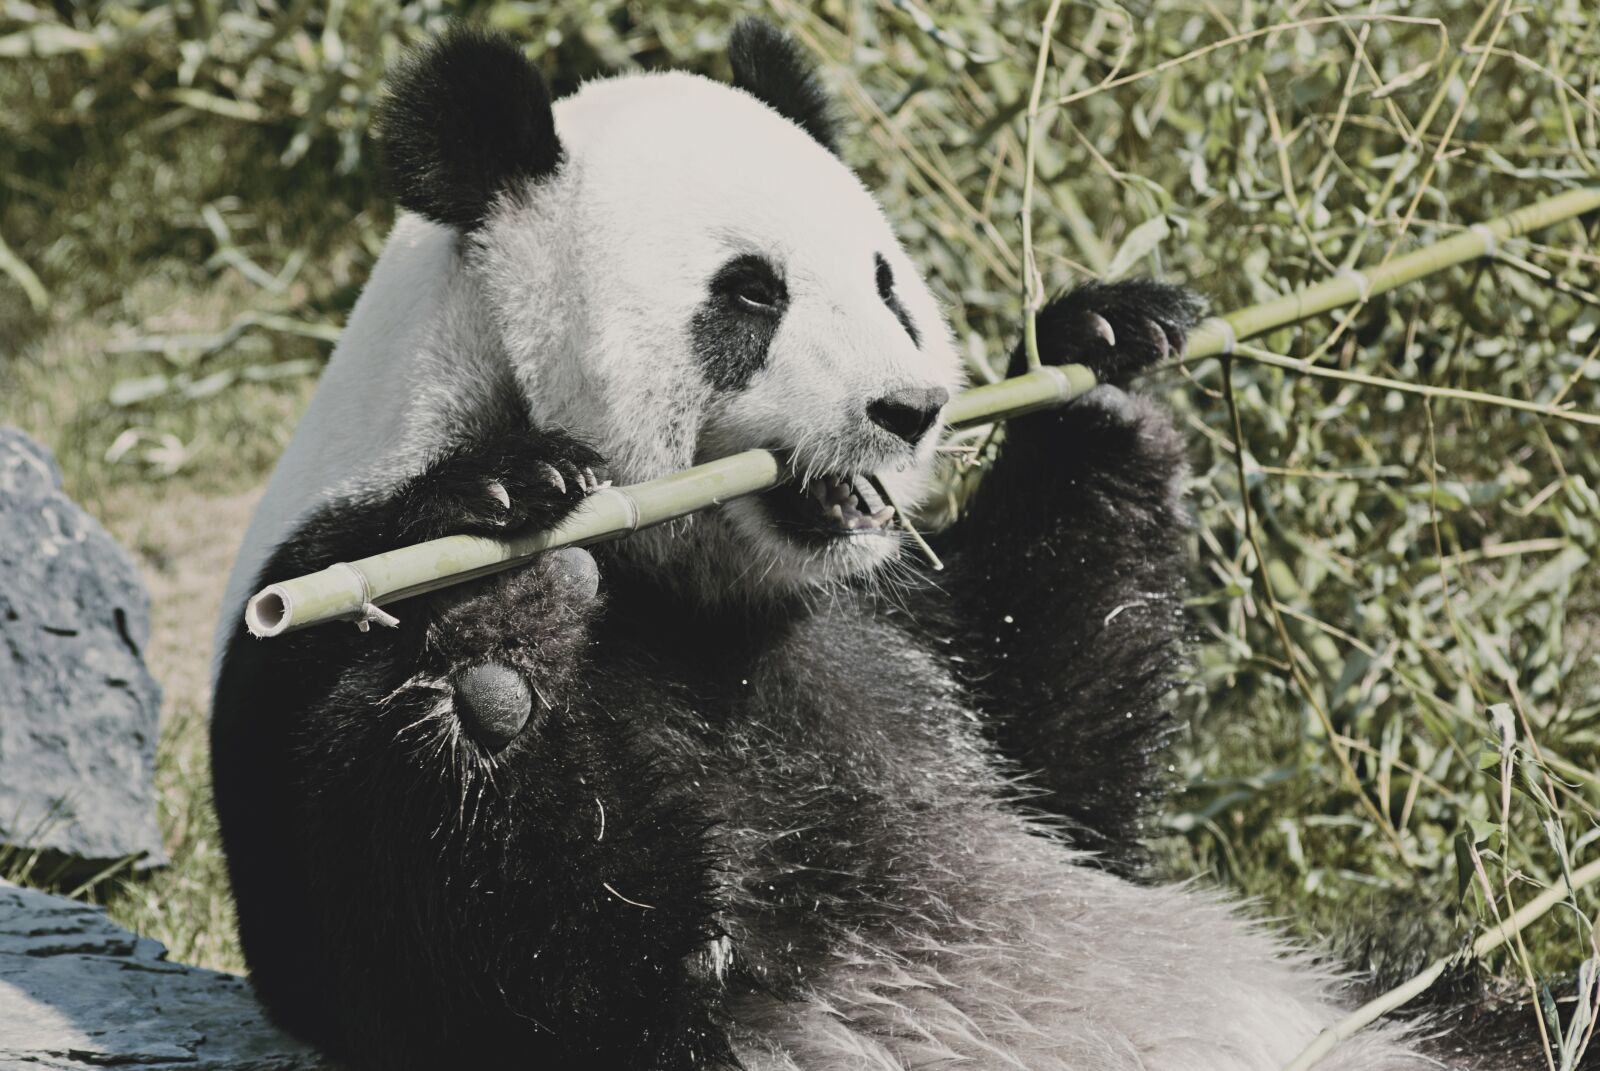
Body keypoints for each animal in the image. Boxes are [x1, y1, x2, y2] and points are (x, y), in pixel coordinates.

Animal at [211, 20, 1530, 1071]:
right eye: (752, 293)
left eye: (887, 280)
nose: (910, 410)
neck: (702, 585)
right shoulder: (301, 630)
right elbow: (496, 982)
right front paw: (504, 632)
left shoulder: (893, 628)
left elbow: (1060, 769)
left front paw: (1099, 356)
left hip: (1378, 1004)